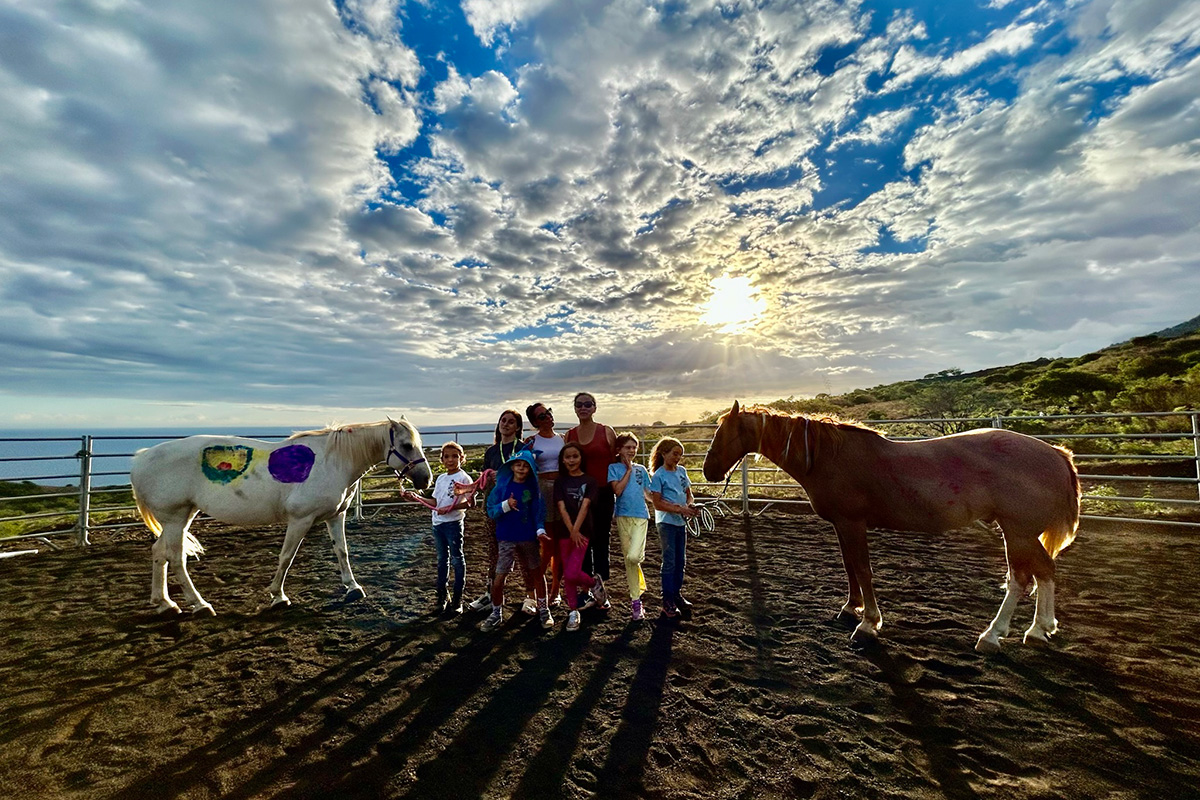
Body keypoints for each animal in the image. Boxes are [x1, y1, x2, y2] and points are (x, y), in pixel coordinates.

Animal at [130, 417, 432, 618]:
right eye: (406, 445)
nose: (425, 480)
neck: (333, 461)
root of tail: (142, 457)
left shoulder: (335, 516)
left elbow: (342, 552)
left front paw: (353, 587)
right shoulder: (301, 519)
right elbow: (287, 557)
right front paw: (278, 596)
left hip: (182, 517)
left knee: (159, 553)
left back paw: (165, 603)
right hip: (175, 518)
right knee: (175, 558)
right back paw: (200, 604)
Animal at [700, 402, 1084, 652]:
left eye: (721, 433)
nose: (708, 471)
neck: (828, 457)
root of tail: (1057, 454)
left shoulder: (853, 523)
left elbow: (863, 570)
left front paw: (868, 624)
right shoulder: (842, 525)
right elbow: (849, 567)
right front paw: (850, 608)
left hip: (1016, 533)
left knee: (1020, 580)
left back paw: (992, 636)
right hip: (1024, 535)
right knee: (1045, 572)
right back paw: (1039, 630)